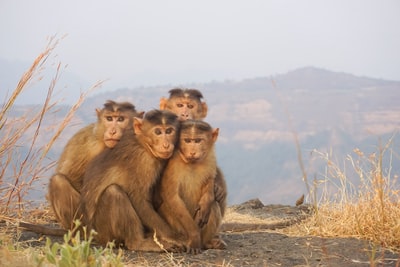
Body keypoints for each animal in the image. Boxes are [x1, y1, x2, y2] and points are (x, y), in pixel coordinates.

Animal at [47, 100, 143, 230]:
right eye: (109, 118)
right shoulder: (88, 145)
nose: (112, 131)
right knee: (58, 181)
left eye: (120, 119)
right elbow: (72, 177)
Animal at [81, 110, 183, 252]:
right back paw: (138, 243)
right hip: (104, 233)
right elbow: (139, 201)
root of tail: (91, 235)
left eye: (169, 131)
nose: (166, 144)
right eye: (158, 132)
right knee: (114, 192)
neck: (143, 144)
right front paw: (173, 237)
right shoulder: (143, 162)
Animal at [155, 120, 227, 254]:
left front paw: (206, 201)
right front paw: (194, 237)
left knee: (214, 205)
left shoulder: (210, 158)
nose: (192, 152)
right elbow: (172, 197)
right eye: (187, 140)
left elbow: (210, 179)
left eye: (198, 141)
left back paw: (209, 242)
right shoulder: (173, 164)